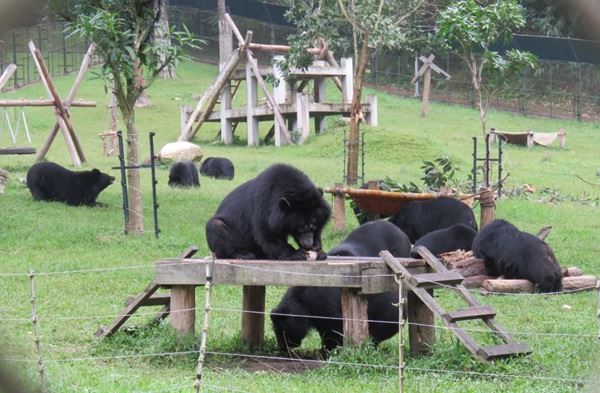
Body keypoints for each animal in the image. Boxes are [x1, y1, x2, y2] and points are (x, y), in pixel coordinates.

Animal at [270, 219, 410, 350]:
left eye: (281, 330)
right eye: (276, 330)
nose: (282, 346)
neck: (305, 302)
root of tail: (401, 232)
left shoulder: (329, 307)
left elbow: (334, 330)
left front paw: (330, 350)